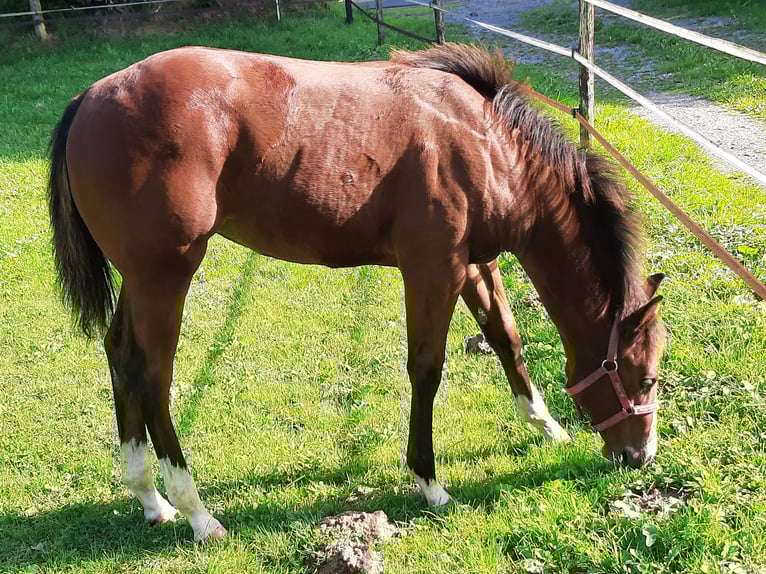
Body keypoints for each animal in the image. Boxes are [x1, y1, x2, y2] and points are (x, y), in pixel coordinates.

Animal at [48, 43, 665, 542]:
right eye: (647, 378)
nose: (638, 456)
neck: (488, 144)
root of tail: (89, 98)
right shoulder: (433, 271)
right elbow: (427, 369)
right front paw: (429, 482)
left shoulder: (474, 265)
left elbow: (506, 339)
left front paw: (546, 425)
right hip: (165, 276)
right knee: (152, 376)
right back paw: (198, 512)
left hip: (142, 279)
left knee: (121, 355)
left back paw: (150, 498)